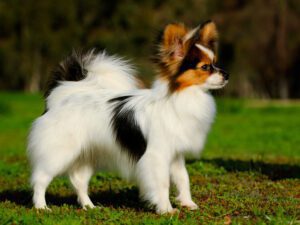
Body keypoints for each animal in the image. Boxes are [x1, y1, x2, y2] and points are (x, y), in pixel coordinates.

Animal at [28, 20, 230, 214]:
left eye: (215, 63)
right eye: (205, 67)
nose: (227, 74)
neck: (179, 97)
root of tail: (62, 95)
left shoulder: (175, 154)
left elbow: (183, 178)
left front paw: (188, 203)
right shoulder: (157, 155)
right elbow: (163, 183)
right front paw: (166, 209)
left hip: (87, 154)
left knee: (79, 182)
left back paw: (89, 207)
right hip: (59, 153)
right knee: (40, 179)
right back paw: (41, 207)